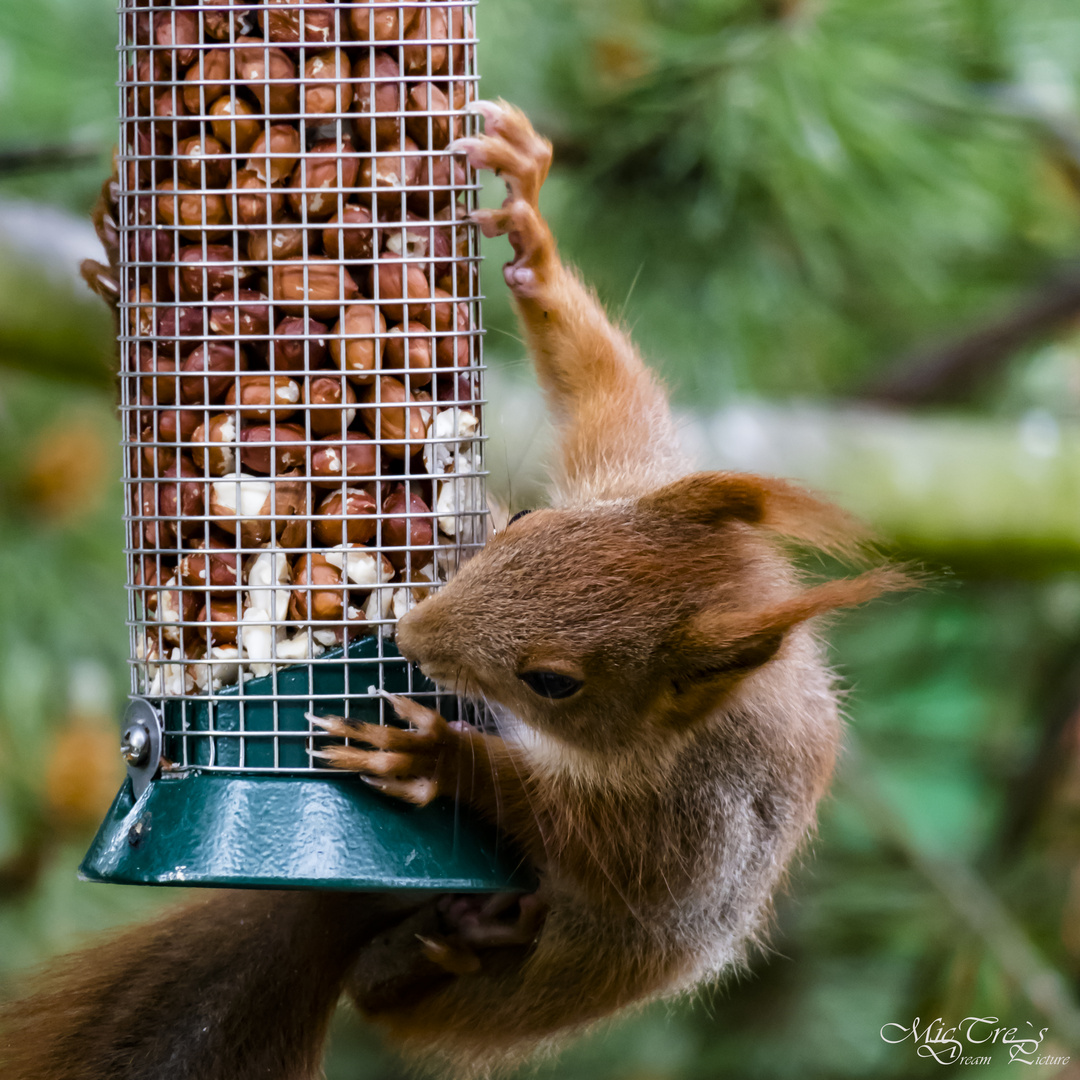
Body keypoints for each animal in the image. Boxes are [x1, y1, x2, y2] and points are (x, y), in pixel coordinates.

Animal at [2, 101, 902, 1080]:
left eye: (555, 682)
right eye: (524, 527)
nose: (411, 639)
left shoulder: (687, 821)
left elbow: (570, 831)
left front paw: (437, 757)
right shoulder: (632, 469)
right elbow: (601, 380)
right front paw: (529, 223)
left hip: (553, 978)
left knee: (403, 987)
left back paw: (461, 930)